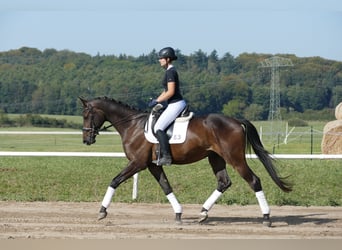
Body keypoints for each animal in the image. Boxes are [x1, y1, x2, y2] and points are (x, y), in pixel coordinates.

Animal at [79, 95, 292, 227]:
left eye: (87, 114)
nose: (86, 140)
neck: (133, 125)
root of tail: (236, 121)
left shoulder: (138, 163)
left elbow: (115, 180)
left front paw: (102, 211)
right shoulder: (152, 166)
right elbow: (166, 187)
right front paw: (179, 214)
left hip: (235, 159)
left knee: (254, 181)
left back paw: (266, 218)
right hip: (216, 158)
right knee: (224, 182)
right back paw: (203, 213)